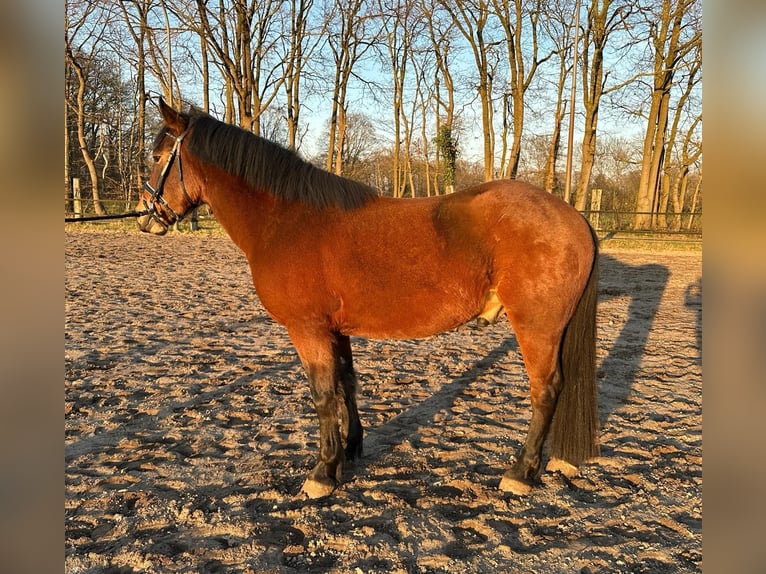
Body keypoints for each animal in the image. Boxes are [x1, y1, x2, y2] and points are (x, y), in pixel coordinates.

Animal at [137, 98, 600, 499]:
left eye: (158, 157)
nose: (145, 217)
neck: (286, 219)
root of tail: (574, 218)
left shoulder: (307, 329)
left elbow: (322, 395)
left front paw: (323, 472)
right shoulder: (335, 329)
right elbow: (346, 384)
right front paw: (350, 450)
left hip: (536, 327)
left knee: (546, 390)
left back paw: (520, 472)